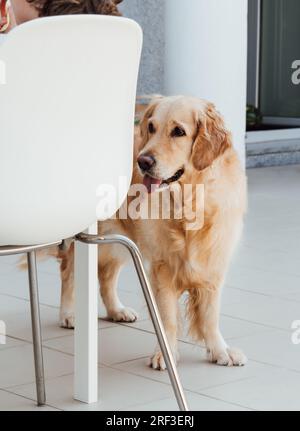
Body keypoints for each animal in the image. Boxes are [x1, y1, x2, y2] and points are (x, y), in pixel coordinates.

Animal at [50, 96, 247, 370]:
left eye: (179, 132)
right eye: (151, 127)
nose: (143, 162)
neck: (189, 202)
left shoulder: (213, 262)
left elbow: (210, 315)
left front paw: (220, 351)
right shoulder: (162, 268)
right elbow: (168, 319)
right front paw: (165, 355)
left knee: (106, 275)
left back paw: (117, 310)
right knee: (69, 271)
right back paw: (68, 314)